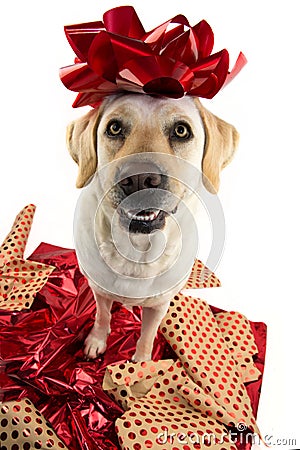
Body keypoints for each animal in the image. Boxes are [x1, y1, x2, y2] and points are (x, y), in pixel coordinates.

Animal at [67, 93, 238, 360]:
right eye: (114, 128)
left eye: (181, 131)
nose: (139, 178)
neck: (136, 249)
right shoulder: (99, 290)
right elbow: (102, 315)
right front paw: (96, 341)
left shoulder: (159, 305)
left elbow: (147, 337)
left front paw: (141, 363)